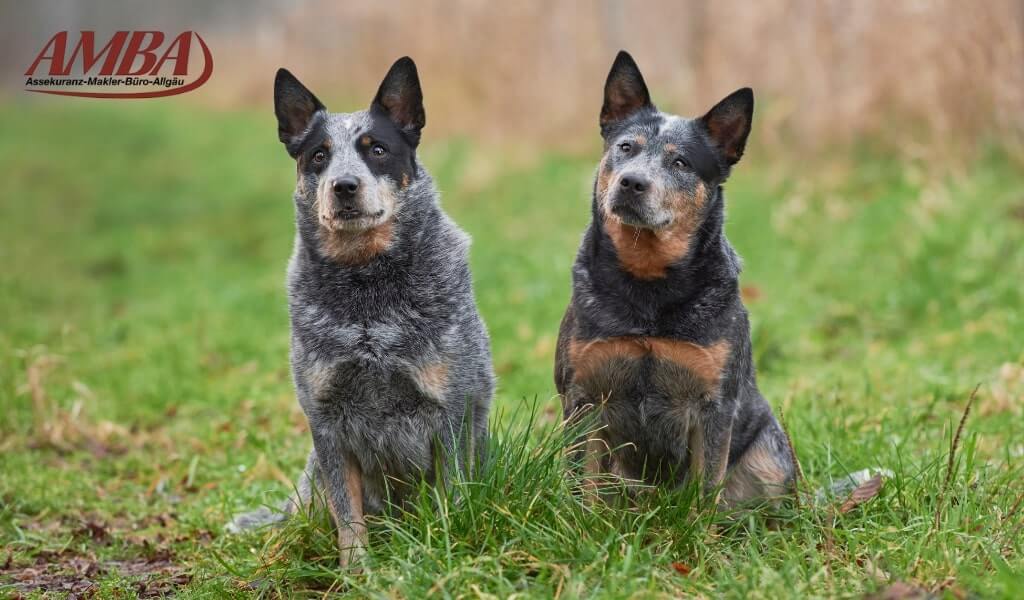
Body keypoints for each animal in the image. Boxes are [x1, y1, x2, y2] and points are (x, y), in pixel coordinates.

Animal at [230, 57, 493, 565]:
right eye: (318, 155)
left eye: (377, 149)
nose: (344, 185)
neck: (367, 294)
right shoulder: (326, 420)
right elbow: (346, 513)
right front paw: (357, 570)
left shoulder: (448, 409)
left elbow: (451, 495)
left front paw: (446, 550)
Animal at [557, 50, 794, 503]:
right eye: (625, 148)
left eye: (680, 161)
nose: (632, 181)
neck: (649, 286)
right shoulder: (585, 397)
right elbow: (582, 483)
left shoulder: (714, 405)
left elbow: (705, 491)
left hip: (771, 456)